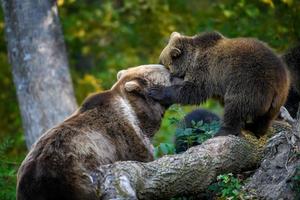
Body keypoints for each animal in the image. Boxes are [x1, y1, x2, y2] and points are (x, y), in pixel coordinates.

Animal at [149, 31, 290, 138]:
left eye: (162, 62)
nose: (158, 65)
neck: (191, 59)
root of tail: (277, 82)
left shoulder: (205, 69)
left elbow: (192, 91)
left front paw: (156, 91)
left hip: (249, 82)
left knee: (236, 106)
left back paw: (223, 131)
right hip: (278, 98)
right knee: (264, 118)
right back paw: (253, 128)